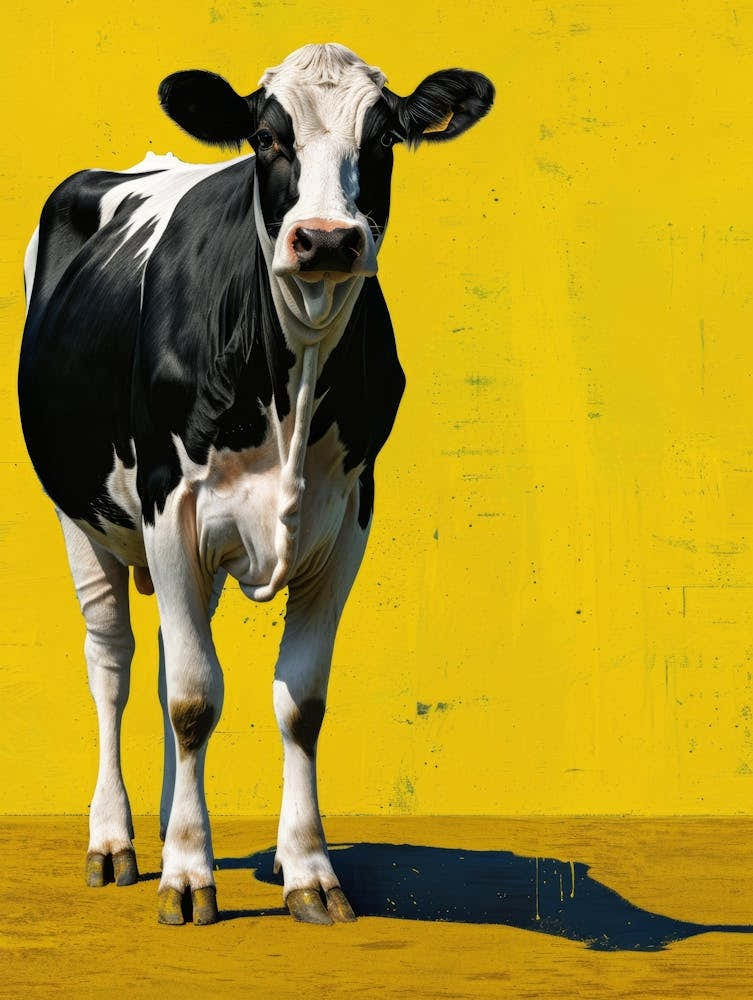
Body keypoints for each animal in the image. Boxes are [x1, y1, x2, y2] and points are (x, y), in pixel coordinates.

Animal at [18, 42, 494, 926]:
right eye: (269, 140)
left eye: (382, 139)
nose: (326, 238)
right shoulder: (170, 503)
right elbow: (193, 699)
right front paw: (186, 876)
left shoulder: (347, 519)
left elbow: (295, 703)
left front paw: (305, 868)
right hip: (79, 511)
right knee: (114, 666)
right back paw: (115, 840)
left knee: (167, 658)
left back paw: (169, 823)